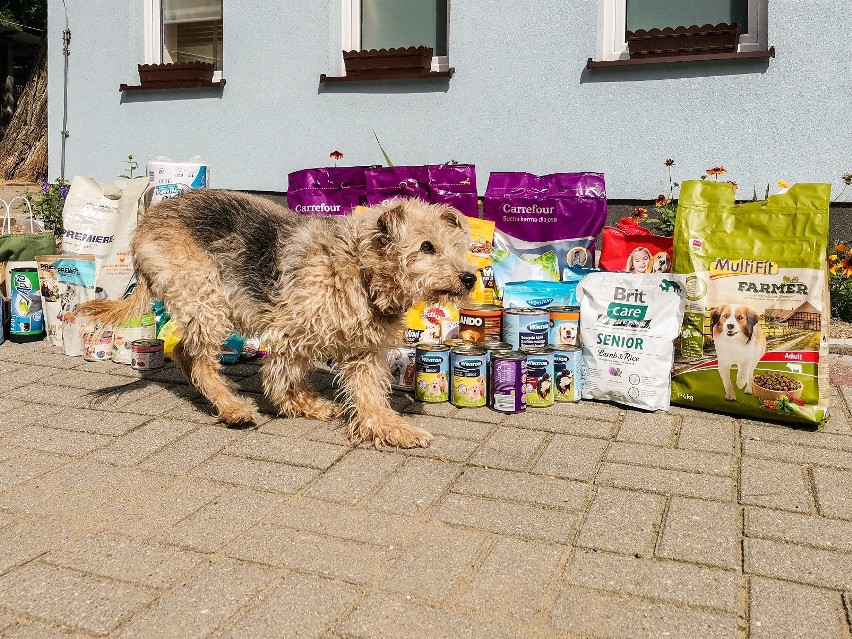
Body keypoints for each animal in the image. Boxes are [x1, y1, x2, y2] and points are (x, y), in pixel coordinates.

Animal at [80, 191, 476, 450]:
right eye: (426, 247)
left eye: (457, 246)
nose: (471, 278)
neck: (356, 266)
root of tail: (145, 224)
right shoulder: (291, 333)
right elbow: (284, 376)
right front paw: (298, 405)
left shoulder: (363, 351)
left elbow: (369, 394)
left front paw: (389, 428)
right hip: (206, 297)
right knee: (197, 357)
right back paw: (232, 408)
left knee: (183, 352)